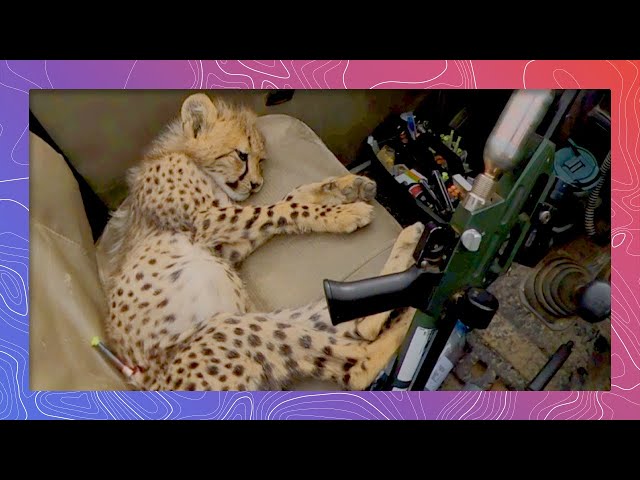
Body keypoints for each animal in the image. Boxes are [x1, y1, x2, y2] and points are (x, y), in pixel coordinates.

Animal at [99, 92, 422, 391]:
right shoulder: (207, 221)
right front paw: (343, 213)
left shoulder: (225, 244)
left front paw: (345, 187)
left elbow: (290, 198)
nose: (256, 184)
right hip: (227, 329)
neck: (185, 156)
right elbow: (282, 209)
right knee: (357, 363)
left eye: (260, 160)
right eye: (242, 155)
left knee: (355, 325)